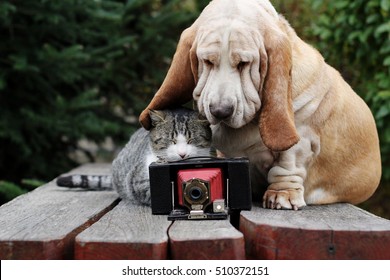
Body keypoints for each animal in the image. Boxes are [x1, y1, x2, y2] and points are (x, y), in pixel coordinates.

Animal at [139, 0, 380, 210]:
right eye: (207, 61)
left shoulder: (302, 139)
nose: (220, 111)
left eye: (244, 63)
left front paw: (282, 195)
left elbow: (287, 165)